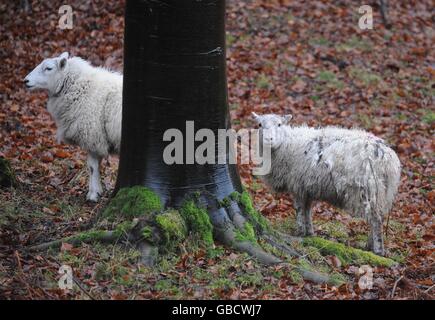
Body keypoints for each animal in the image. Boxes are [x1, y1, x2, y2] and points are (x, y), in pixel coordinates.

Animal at [24, 53, 122, 201]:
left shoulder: (92, 135)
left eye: (48, 68)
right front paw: (98, 190)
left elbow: (92, 167)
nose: (25, 81)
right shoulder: (97, 139)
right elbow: (97, 166)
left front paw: (92, 195)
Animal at [252, 112, 402, 255]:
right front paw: (309, 232)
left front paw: (300, 232)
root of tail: (388, 158)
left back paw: (378, 250)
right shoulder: (307, 187)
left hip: (368, 188)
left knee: (375, 219)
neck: (287, 145)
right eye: (259, 125)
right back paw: (369, 245)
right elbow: (307, 210)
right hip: (381, 191)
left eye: (279, 124)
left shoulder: (297, 185)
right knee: (378, 215)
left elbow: (299, 209)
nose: (268, 139)